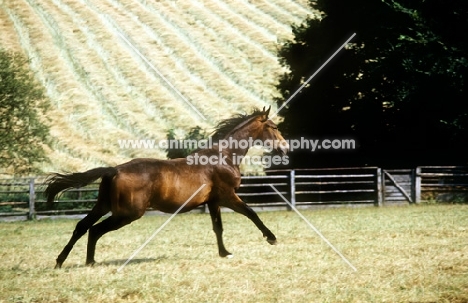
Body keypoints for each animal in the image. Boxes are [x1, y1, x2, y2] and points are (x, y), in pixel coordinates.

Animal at [46, 106, 288, 268]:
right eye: (274, 127)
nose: (285, 148)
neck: (224, 156)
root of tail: (114, 170)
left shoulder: (213, 201)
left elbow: (218, 227)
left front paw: (224, 253)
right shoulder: (228, 196)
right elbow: (251, 213)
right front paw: (272, 238)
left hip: (104, 205)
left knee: (82, 226)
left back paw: (65, 261)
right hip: (127, 213)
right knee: (95, 229)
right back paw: (89, 262)